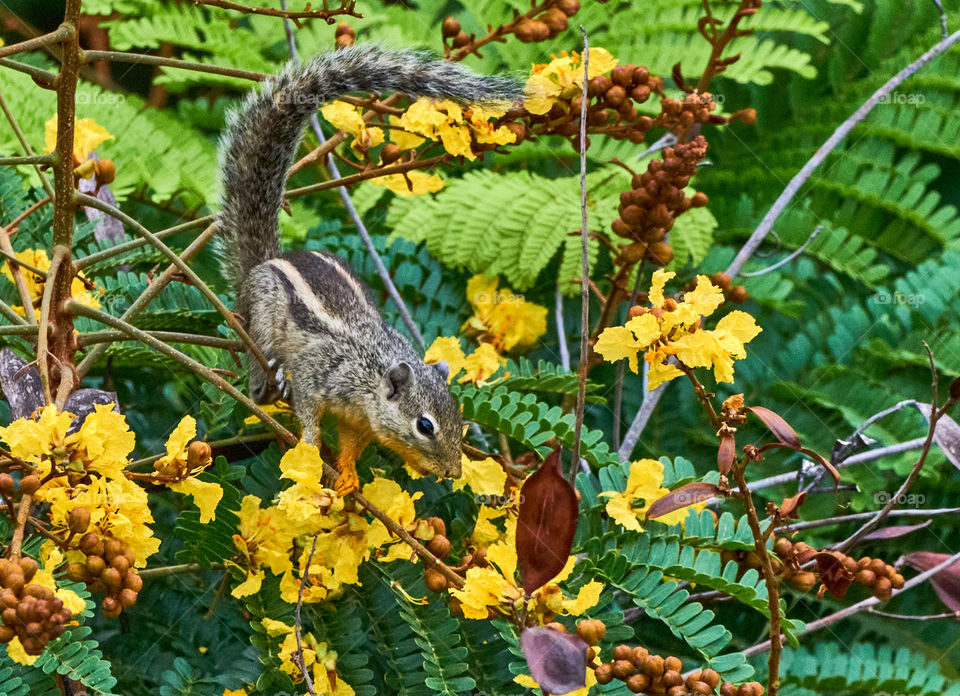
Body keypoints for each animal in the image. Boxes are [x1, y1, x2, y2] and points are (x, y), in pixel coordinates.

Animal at [217, 44, 520, 494]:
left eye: (459, 418)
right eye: (425, 425)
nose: (453, 472)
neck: (371, 377)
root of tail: (262, 263)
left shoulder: (357, 422)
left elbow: (351, 446)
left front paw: (347, 476)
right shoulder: (319, 373)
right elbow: (309, 412)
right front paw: (310, 449)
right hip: (259, 319)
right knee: (259, 365)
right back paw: (268, 380)